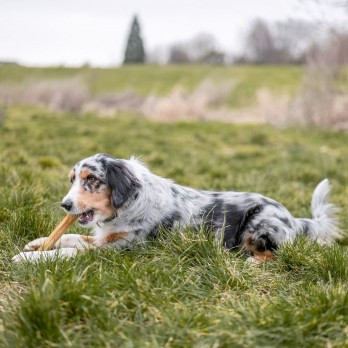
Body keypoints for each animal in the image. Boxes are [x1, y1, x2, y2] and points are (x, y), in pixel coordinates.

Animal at [12, 154, 342, 262]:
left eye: (91, 179)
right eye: (72, 180)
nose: (65, 204)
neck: (127, 206)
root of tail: (294, 219)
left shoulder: (123, 248)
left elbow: (69, 250)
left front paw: (28, 259)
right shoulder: (106, 237)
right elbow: (70, 237)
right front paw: (35, 244)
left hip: (260, 222)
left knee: (275, 255)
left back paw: (251, 262)